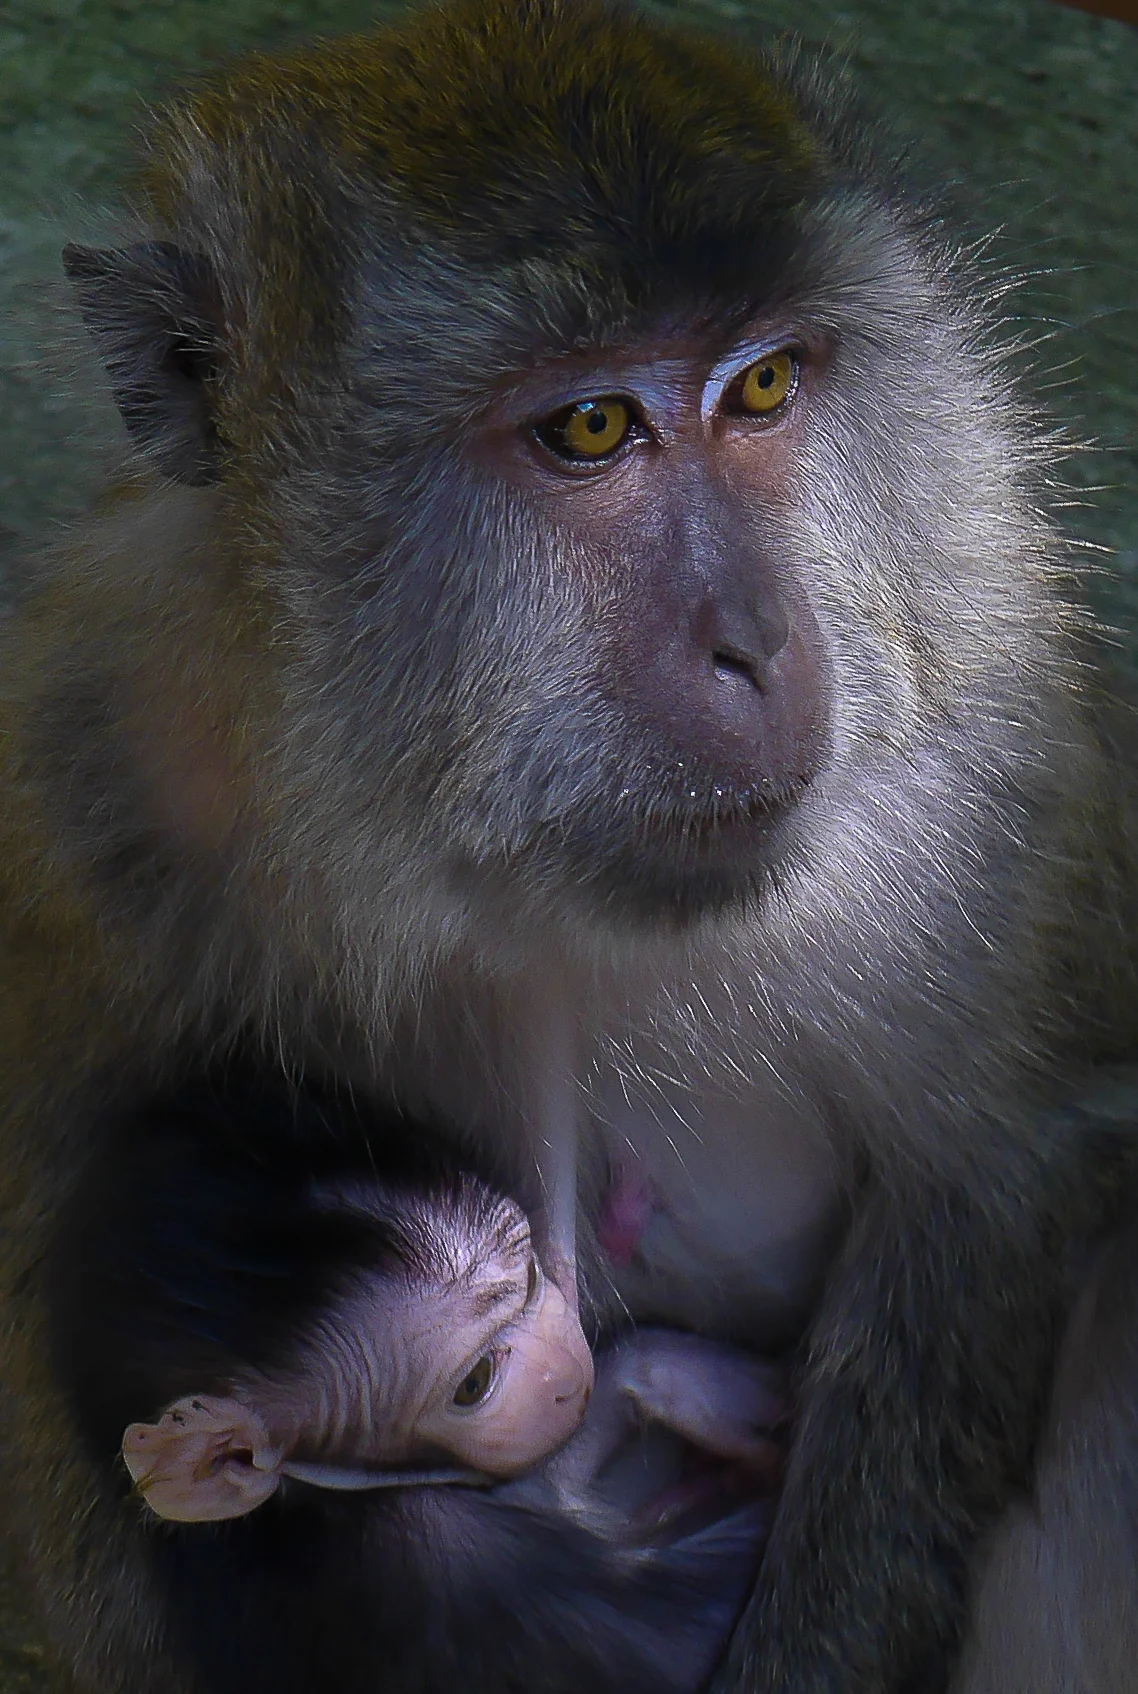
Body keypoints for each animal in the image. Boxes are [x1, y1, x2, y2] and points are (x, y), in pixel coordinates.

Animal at [0, 0, 1136, 1689]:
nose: (756, 644)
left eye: (762, 388)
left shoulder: (976, 773)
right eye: (589, 425)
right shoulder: (101, 759)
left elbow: (989, 1182)